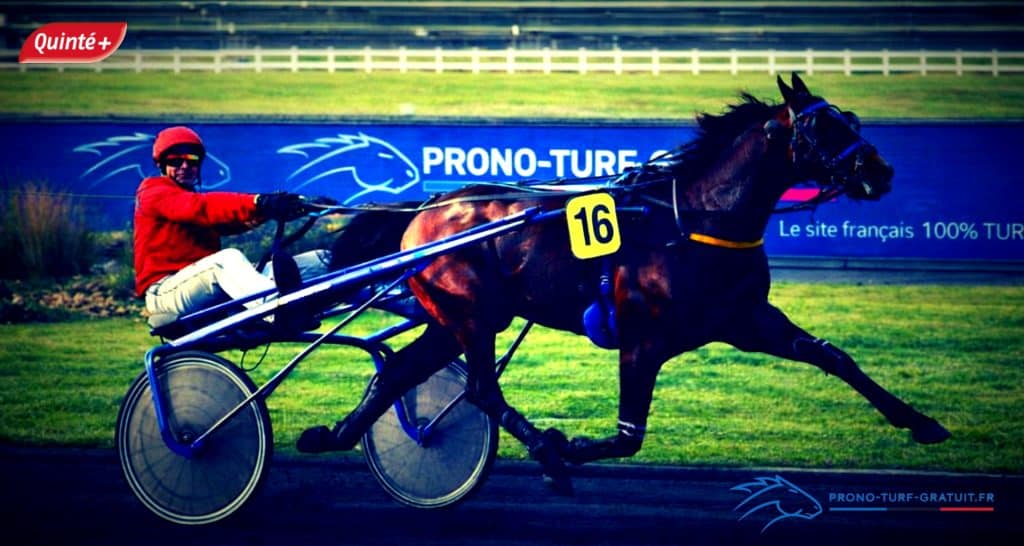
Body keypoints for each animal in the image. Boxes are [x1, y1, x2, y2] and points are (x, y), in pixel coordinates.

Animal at [298, 73, 951, 494]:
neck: (694, 219)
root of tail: (426, 209)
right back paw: (545, 452)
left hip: (457, 318)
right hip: (472, 315)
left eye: (851, 119)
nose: (880, 170)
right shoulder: (643, 338)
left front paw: (922, 422)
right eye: (820, 128)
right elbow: (629, 435)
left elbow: (834, 357)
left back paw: (332, 435)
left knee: (397, 372)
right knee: (481, 388)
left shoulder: (746, 320)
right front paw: (564, 448)